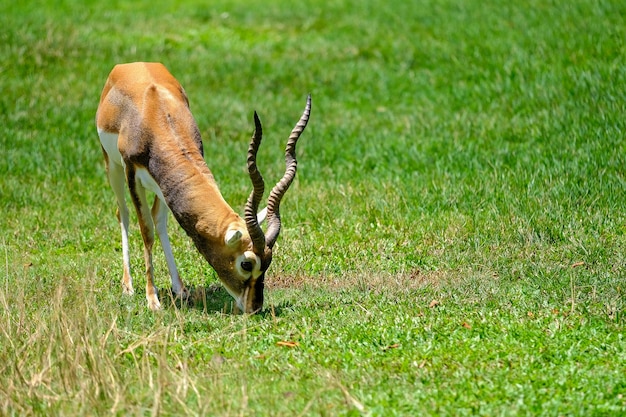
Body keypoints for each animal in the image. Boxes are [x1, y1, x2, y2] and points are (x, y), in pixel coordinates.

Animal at [95, 61, 310, 312]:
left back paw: (179, 288)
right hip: (113, 167)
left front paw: (177, 291)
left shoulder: (167, 183)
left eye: (268, 262)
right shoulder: (132, 174)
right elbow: (147, 232)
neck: (157, 116)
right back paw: (128, 286)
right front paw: (152, 300)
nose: (254, 307)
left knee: (159, 220)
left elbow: (158, 223)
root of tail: (130, 65)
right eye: (246, 264)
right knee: (124, 213)